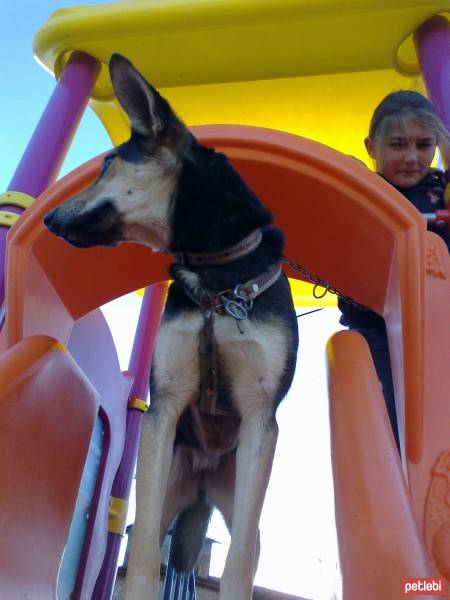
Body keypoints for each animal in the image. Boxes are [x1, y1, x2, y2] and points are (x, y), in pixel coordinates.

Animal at [44, 54, 298, 596]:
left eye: (107, 164)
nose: (49, 219)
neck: (218, 278)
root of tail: (202, 481)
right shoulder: (165, 405)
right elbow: (141, 553)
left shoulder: (260, 416)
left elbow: (238, 563)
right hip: (166, 480)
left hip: (241, 490)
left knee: (247, 545)